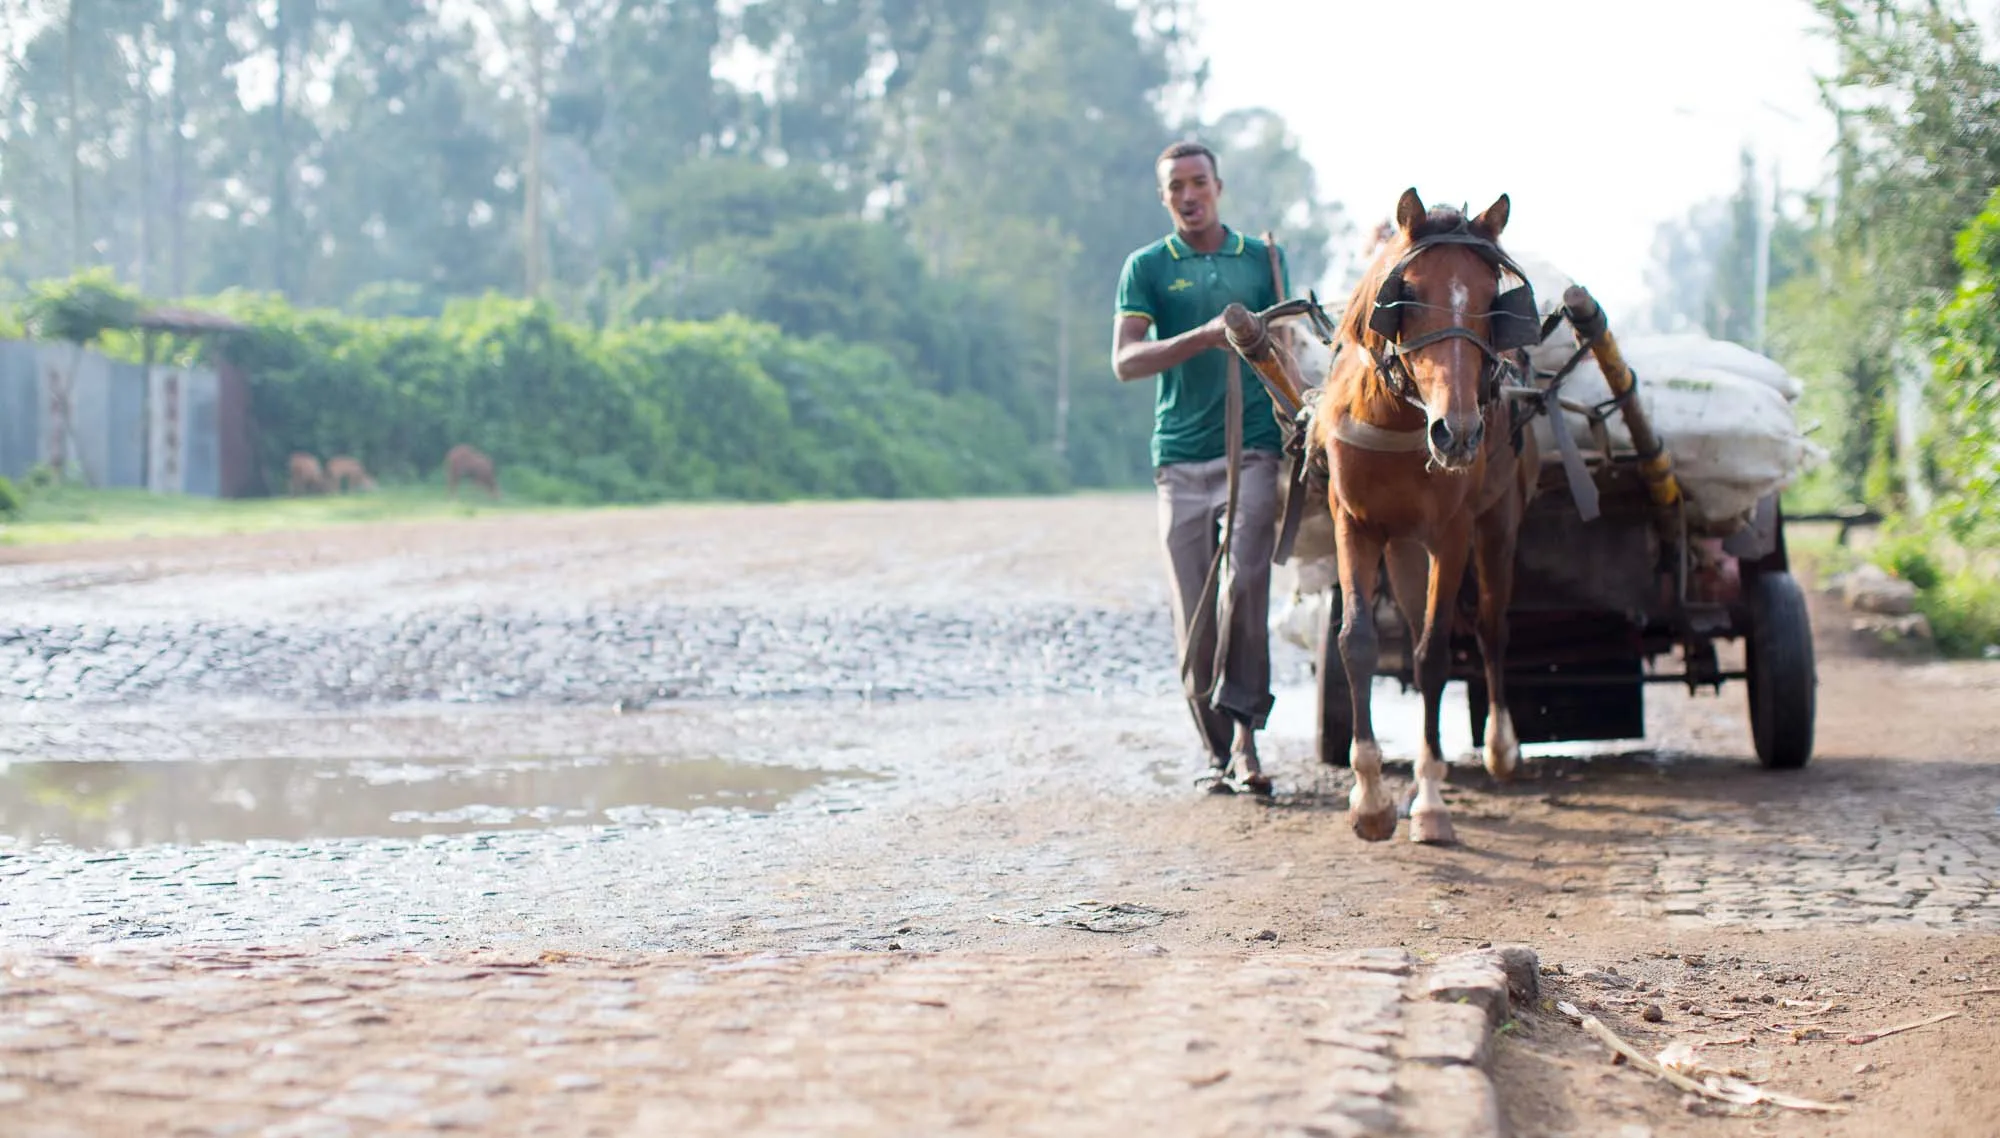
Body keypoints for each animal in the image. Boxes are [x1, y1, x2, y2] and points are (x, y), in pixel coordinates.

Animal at [1308, 188, 1542, 844]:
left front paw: (1432, 800)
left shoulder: (1452, 533)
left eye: (1493, 299)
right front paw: (1369, 799)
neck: (1396, 417)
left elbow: (1435, 654)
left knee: (1489, 628)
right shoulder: (1353, 524)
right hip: (1403, 547)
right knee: (1414, 625)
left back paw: (1500, 748)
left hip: (1496, 527)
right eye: (1406, 295)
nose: (1457, 433)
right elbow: (1357, 641)